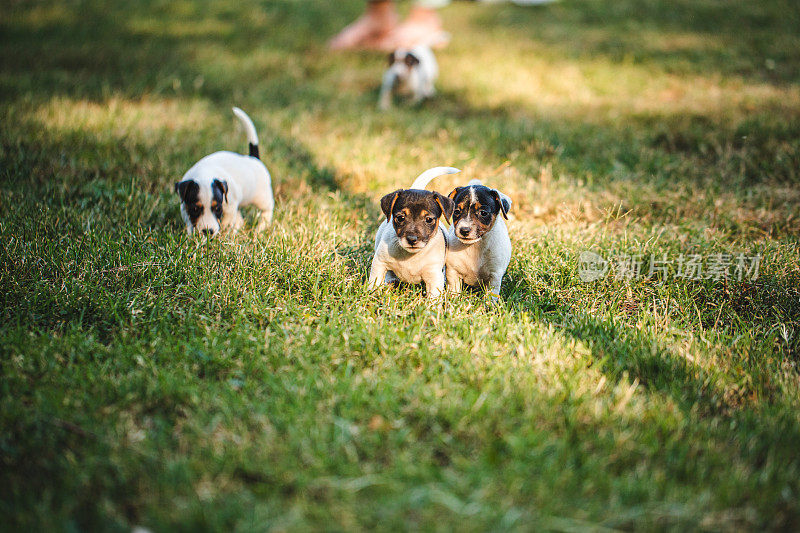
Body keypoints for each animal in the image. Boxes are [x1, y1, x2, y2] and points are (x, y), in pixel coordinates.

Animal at [173, 107, 274, 236]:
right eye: (195, 209)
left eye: (217, 209)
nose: (208, 231)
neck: (205, 173)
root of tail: (253, 158)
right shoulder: (184, 207)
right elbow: (190, 221)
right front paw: (192, 235)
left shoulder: (230, 206)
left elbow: (227, 221)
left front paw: (224, 233)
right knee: (240, 219)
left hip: (261, 197)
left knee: (267, 209)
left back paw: (261, 227)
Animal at [368, 166, 456, 300]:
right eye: (400, 218)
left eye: (429, 219)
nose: (412, 239)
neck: (411, 256)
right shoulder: (380, 262)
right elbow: (375, 282)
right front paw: (371, 296)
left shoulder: (434, 276)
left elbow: (434, 297)